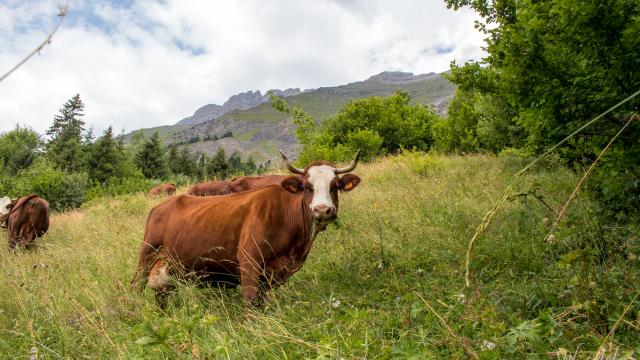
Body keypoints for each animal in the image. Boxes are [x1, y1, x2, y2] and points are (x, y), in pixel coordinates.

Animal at [131, 149, 360, 306]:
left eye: (335, 186)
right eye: (307, 187)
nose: (322, 210)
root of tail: (162, 205)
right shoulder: (249, 259)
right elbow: (251, 302)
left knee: (162, 293)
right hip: (147, 254)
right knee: (136, 285)